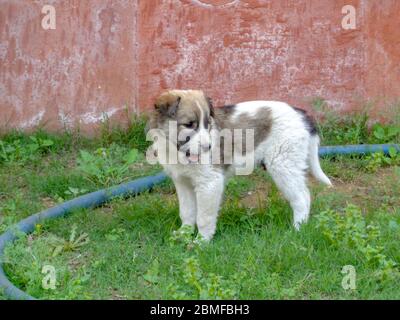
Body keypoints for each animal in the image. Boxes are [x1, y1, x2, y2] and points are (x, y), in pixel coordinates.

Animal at [147, 89, 332, 241]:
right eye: (189, 125)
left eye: (207, 124)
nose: (209, 147)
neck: (177, 151)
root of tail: (302, 114)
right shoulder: (183, 182)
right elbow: (187, 212)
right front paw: (183, 234)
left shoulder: (210, 183)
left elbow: (204, 217)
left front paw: (201, 242)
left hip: (283, 164)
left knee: (302, 198)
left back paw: (297, 230)